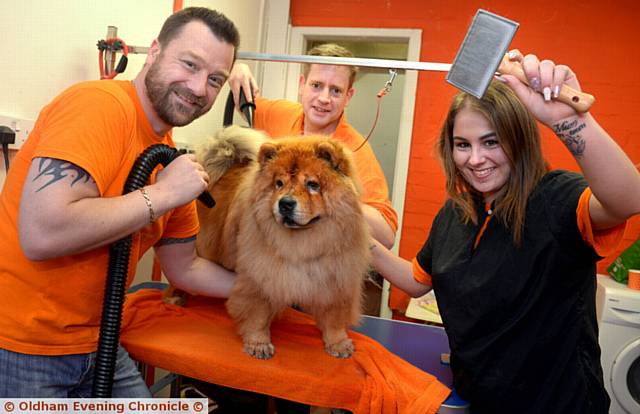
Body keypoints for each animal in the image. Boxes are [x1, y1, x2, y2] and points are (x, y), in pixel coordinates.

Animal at [164, 126, 370, 360]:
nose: (285, 203)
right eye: (279, 183)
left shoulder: (337, 279)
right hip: (199, 245)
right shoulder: (260, 275)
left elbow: (334, 318)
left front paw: (338, 343)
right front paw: (258, 344)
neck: (302, 240)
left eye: (312, 185)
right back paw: (175, 298)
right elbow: (258, 315)